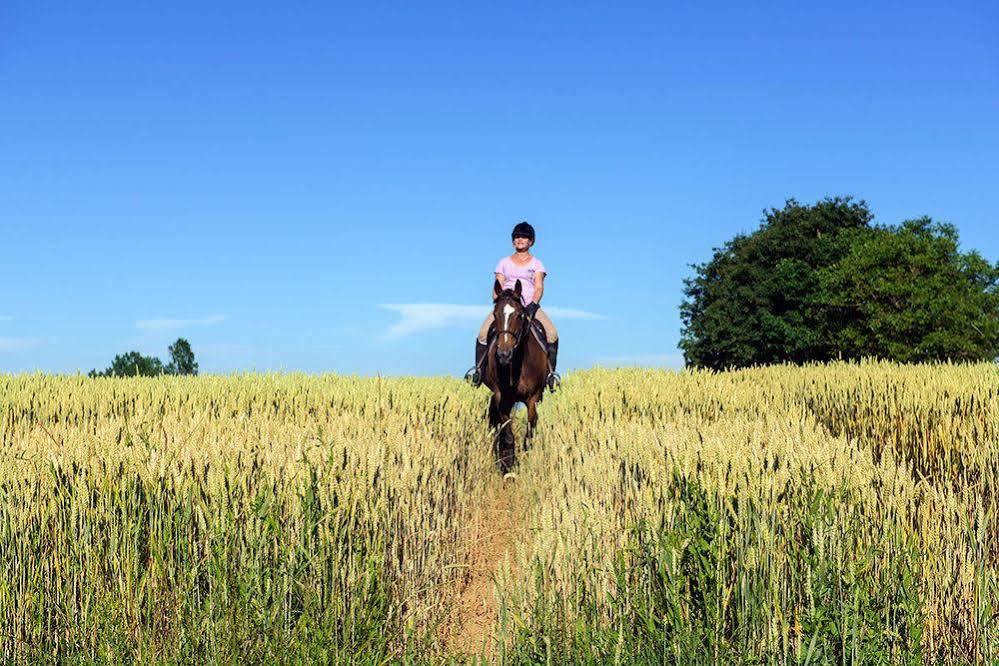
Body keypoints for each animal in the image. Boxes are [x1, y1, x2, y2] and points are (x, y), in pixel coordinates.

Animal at [480, 276, 552, 472]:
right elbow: (507, 434)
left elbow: (529, 432)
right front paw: (508, 468)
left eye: (519, 315)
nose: (504, 354)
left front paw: (525, 462)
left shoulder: (533, 398)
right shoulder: (502, 398)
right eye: (495, 314)